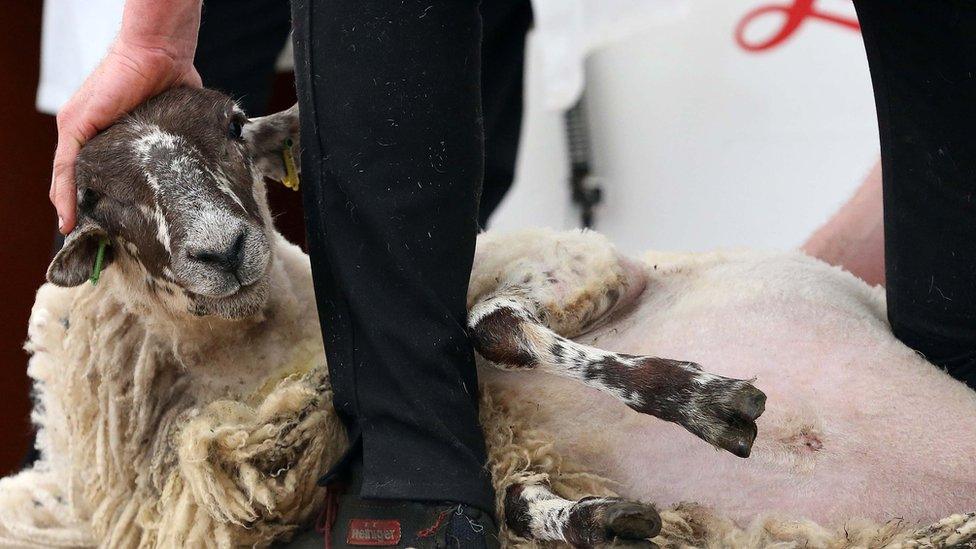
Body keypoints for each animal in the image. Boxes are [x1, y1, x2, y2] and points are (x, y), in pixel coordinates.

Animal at [0, 88, 972, 544]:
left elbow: (492, 325)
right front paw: (597, 519)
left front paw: (705, 401)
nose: (222, 247)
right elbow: (512, 492)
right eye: (95, 201)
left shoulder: (583, 261)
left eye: (234, 122)